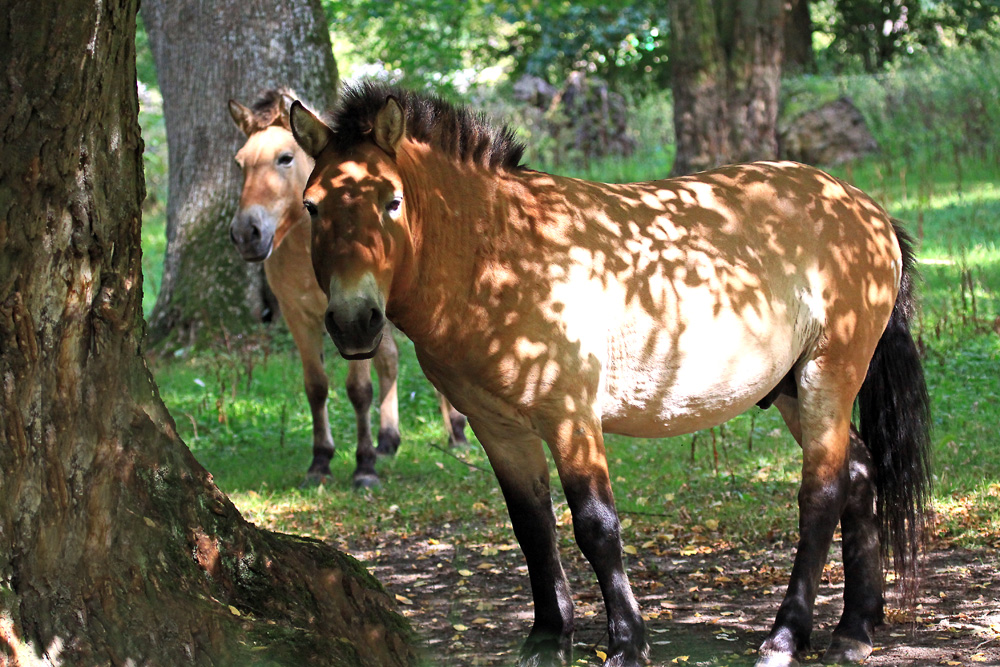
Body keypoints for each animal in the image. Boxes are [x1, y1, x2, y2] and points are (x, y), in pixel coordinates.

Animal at [227, 88, 468, 488]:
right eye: (239, 164)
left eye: (285, 158)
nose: (247, 234)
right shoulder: (301, 317)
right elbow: (316, 386)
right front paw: (321, 460)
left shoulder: (355, 318)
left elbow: (358, 390)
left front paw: (364, 466)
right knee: (390, 361)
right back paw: (389, 439)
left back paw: (457, 433)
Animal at [288, 85, 928, 667]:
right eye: (313, 206)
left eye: (392, 201)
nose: (354, 321)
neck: (498, 256)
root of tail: (864, 208)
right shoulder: (500, 429)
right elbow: (532, 528)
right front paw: (548, 637)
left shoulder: (569, 416)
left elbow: (596, 527)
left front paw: (627, 644)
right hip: (793, 387)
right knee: (861, 473)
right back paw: (854, 629)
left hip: (828, 376)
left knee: (822, 494)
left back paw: (786, 639)